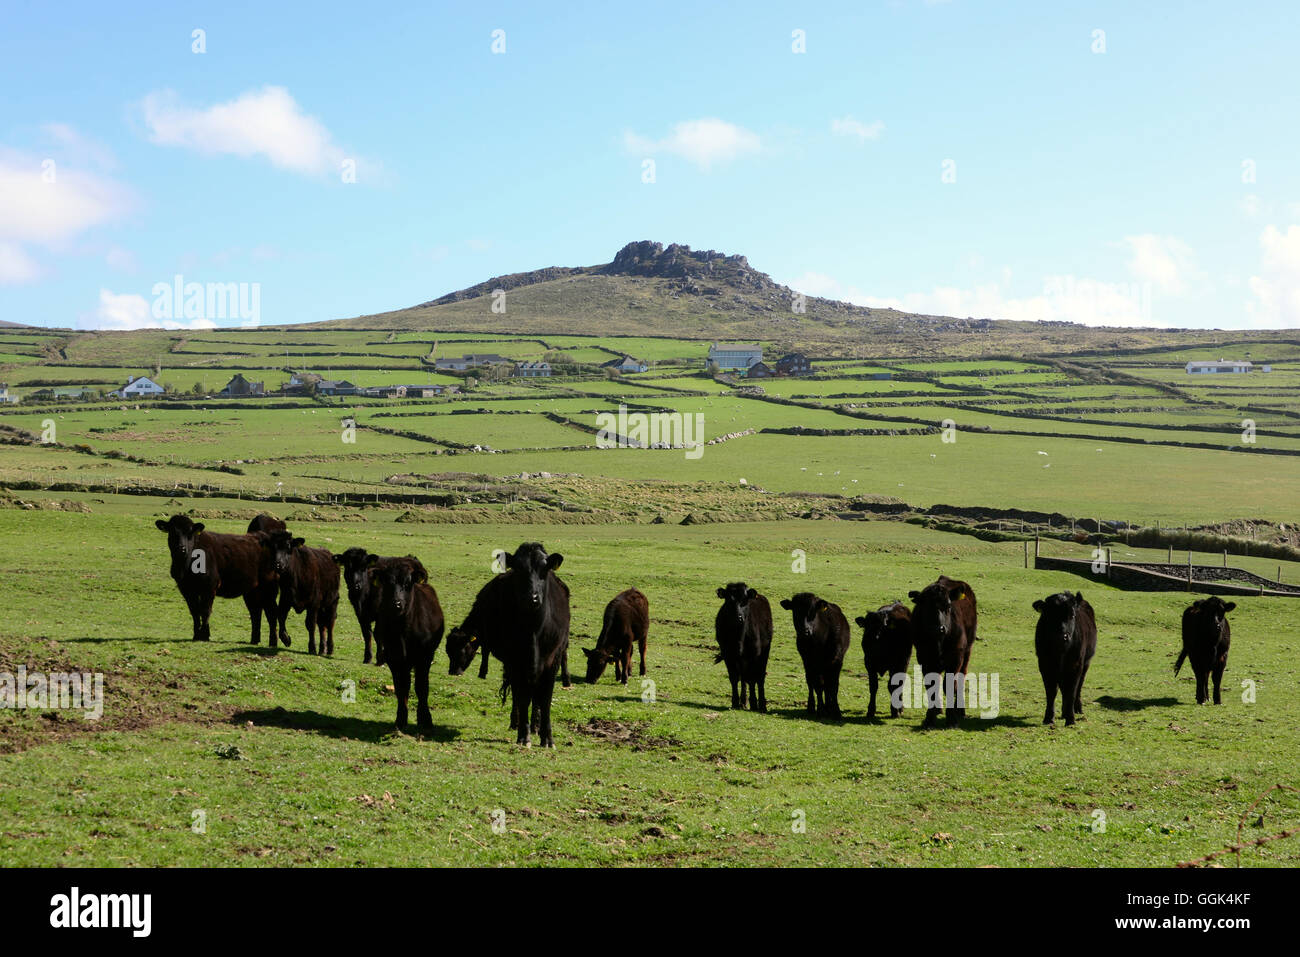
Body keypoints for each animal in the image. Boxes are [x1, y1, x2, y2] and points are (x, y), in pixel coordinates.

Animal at [155, 514, 281, 645]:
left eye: (190, 533)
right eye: (172, 532)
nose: (181, 548)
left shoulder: (210, 586)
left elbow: (205, 610)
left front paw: (204, 635)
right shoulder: (186, 589)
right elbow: (195, 611)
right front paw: (196, 635)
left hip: (269, 588)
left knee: (271, 612)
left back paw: (273, 642)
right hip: (251, 590)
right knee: (256, 612)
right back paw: (254, 640)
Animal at [369, 555, 444, 732]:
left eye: (408, 584)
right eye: (387, 583)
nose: (397, 604)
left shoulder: (424, 657)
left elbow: (422, 687)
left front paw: (426, 720)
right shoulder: (393, 658)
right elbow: (401, 688)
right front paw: (400, 720)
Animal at [714, 583, 773, 713]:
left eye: (745, 601)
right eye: (729, 600)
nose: (738, 617)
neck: (738, 637)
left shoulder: (753, 654)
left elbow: (752, 679)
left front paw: (754, 703)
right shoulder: (727, 654)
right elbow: (734, 677)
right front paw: (735, 702)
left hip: (764, 652)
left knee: (759, 677)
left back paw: (762, 705)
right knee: (743, 677)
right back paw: (743, 702)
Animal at [908, 576, 978, 727]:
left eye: (948, 606)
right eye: (926, 607)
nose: (940, 628)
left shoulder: (956, 657)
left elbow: (949, 685)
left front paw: (951, 718)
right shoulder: (924, 658)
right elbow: (931, 685)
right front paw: (930, 717)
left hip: (967, 652)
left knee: (961, 677)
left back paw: (960, 709)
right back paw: (939, 708)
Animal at [1032, 591, 1097, 726]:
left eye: (1072, 615)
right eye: (1048, 615)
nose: (1061, 636)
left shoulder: (1076, 665)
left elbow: (1071, 691)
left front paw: (1071, 719)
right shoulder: (1044, 664)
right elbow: (1051, 691)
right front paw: (1048, 718)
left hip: (1086, 663)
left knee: (1079, 686)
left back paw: (1077, 708)